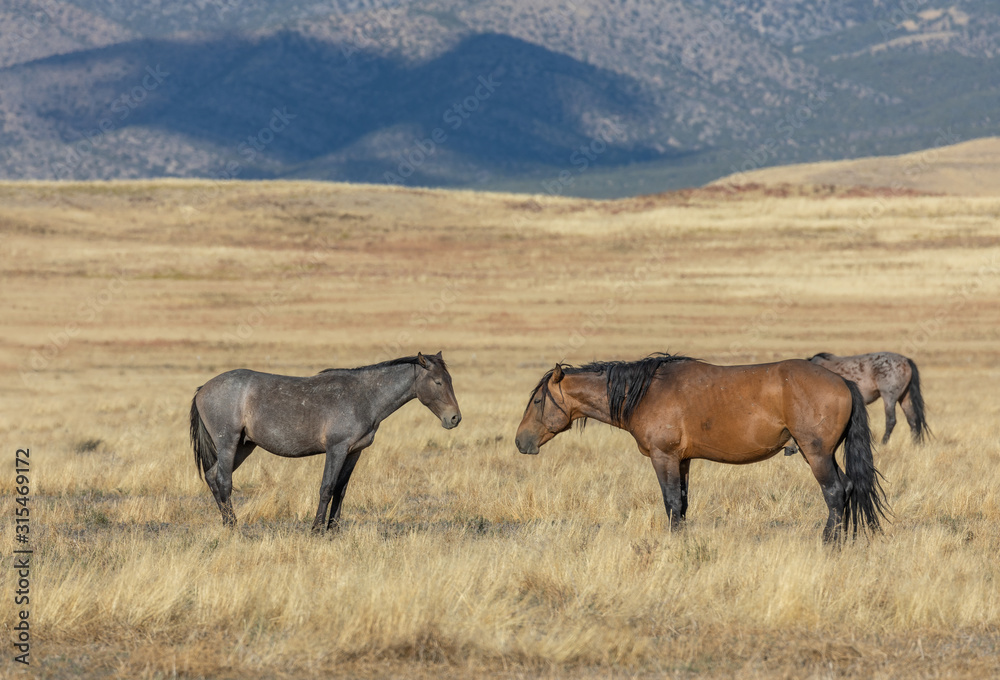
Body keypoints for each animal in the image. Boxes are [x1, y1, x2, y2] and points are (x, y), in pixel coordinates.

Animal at [190, 352, 461, 531]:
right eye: (438, 382)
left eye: (450, 380)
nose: (455, 418)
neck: (364, 396)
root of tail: (203, 388)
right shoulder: (336, 449)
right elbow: (327, 487)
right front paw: (317, 529)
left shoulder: (353, 452)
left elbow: (341, 489)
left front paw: (333, 529)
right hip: (228, 444)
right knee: (223, 481)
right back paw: (233, 526)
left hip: (244, 446)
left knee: (213, 477)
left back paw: (227, 522)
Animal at [515, 353, 889, 543]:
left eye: (537, 400)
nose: (521, 441)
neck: (646, 392)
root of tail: (842, 380)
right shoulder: (682, 461)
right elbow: (681, 504)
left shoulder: (663, 457)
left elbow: (670, 503)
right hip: (825, 454)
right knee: (849, 488)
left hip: (816, 454)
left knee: (835, 492)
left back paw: (829, 542)